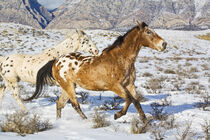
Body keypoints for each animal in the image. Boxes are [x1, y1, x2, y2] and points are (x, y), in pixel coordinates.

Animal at [26, 21, 167, 123]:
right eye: (148, 32)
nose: (164, 44)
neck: (120, 59)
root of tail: (56, 61)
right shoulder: (115, 86)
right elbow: (129, 99)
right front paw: (117, 115)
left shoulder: (130, 85)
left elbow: (136, 102)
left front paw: (145, 122)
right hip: (68, 86)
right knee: (75, 105)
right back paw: (86, 121)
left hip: (68, 87)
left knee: (60, 104)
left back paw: (59, 122)